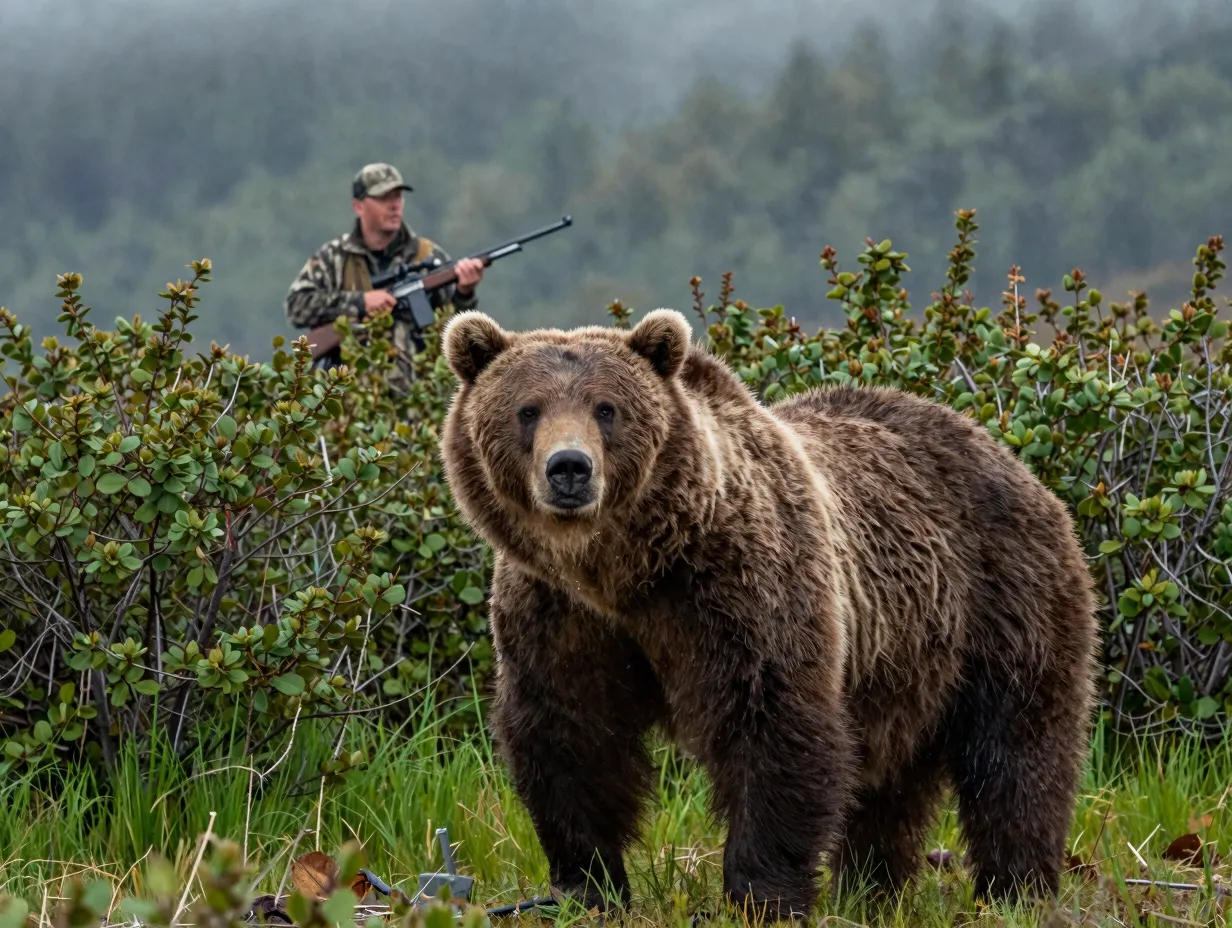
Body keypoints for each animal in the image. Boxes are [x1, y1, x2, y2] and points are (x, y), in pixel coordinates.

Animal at [438, 307, 1100, 921]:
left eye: (607, 408)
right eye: (528, 410)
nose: (570, 467)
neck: (624, 573)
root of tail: (1007, 454)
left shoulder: (739, 589)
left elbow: (772, 725)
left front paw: (763, 896)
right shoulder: (561, 616)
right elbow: (570, 737)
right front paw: (589, 886)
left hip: (1004, 600)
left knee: (1017, 753)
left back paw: (1016, 888)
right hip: (903, 663)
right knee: (890, 784)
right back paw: (871, 888)